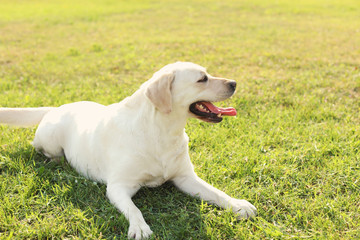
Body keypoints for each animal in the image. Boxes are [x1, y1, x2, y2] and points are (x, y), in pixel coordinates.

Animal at [1, 62, 258, 240]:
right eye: (202, 79)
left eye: (207, 74)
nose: (234, 83)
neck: (163, 131)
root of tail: (56, 107)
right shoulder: (118, 187)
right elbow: (134, 209)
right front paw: (140, 227)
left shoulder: (186, 178)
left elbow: (216, 192)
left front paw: (238, 205)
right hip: (50, 140)